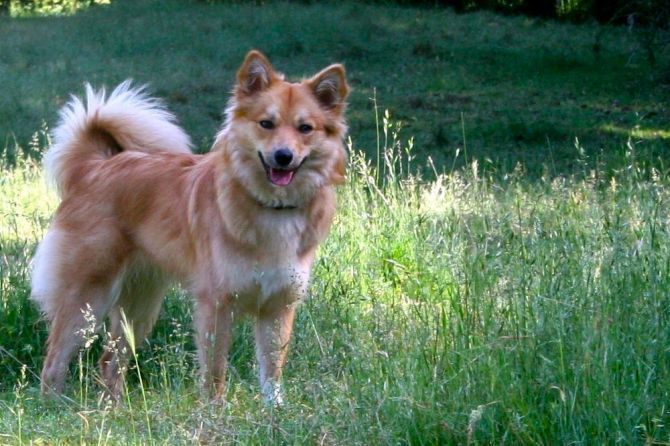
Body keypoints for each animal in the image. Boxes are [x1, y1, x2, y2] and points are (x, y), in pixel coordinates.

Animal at [28, 49, 350, 404]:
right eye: (266, 124)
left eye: (305, 128)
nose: (283, 156)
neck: (272, 208)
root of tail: (93, 168)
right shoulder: (216, 305)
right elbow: (215, 372)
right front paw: (215, 411)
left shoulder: (277, 306)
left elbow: (271, 372)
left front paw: (276, 411)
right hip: (86, 294)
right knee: (55, 360)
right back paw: (54, 406)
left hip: (139, 305)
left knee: (110, 360)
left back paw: (112, 409)